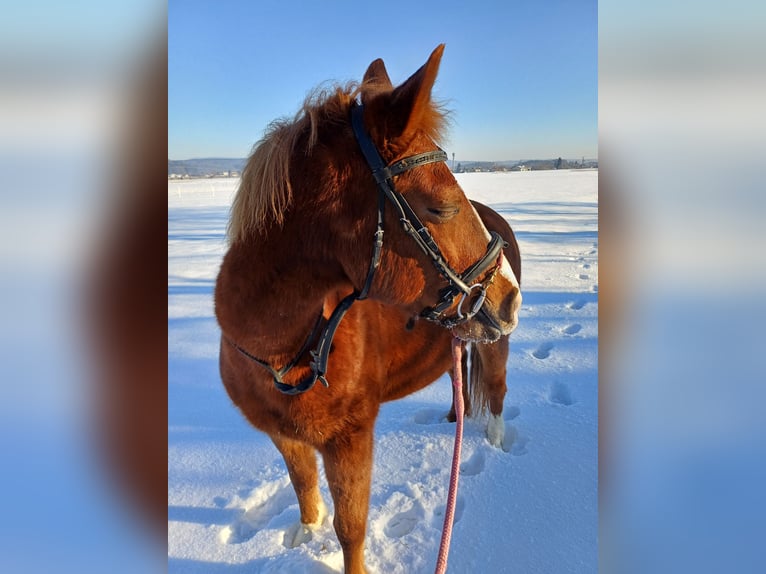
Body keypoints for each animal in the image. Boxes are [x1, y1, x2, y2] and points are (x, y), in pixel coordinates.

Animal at [214, 45, 521, 574]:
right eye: (441, 208)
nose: (510, 295)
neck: (281, 353)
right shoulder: (282, 434)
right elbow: (303, 485)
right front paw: (306, 531)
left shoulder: (350, 438)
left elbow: (350, 527)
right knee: (457, 378)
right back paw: (452, 417)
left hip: (494, 344)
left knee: (497, 391)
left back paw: (496, 443)